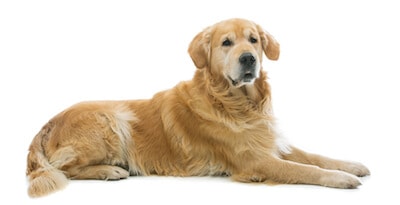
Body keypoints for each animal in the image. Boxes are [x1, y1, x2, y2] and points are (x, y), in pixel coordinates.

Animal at [26, 18, 370, 197]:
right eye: (226, 43)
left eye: (254, 40)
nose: (249, 59)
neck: (237, 103)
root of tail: (44, 126)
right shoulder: (253, 160)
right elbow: (303, 169)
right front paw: (341, 179)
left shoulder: (268, 142)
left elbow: (314, 156)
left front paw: (350, 165)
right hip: (112, 119)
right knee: (64, 168)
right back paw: (109, 170)